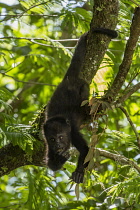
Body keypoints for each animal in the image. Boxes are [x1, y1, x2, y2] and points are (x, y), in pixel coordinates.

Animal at [43, 28, 117, 183]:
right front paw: (60, 158)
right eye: (52, 139)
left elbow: (85, 151)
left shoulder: (73, 133)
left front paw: (78, 172)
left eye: (61, 137)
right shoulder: (46, 142)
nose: (58, 146)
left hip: (83, 87)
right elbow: (51, 164)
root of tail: (69, 79)